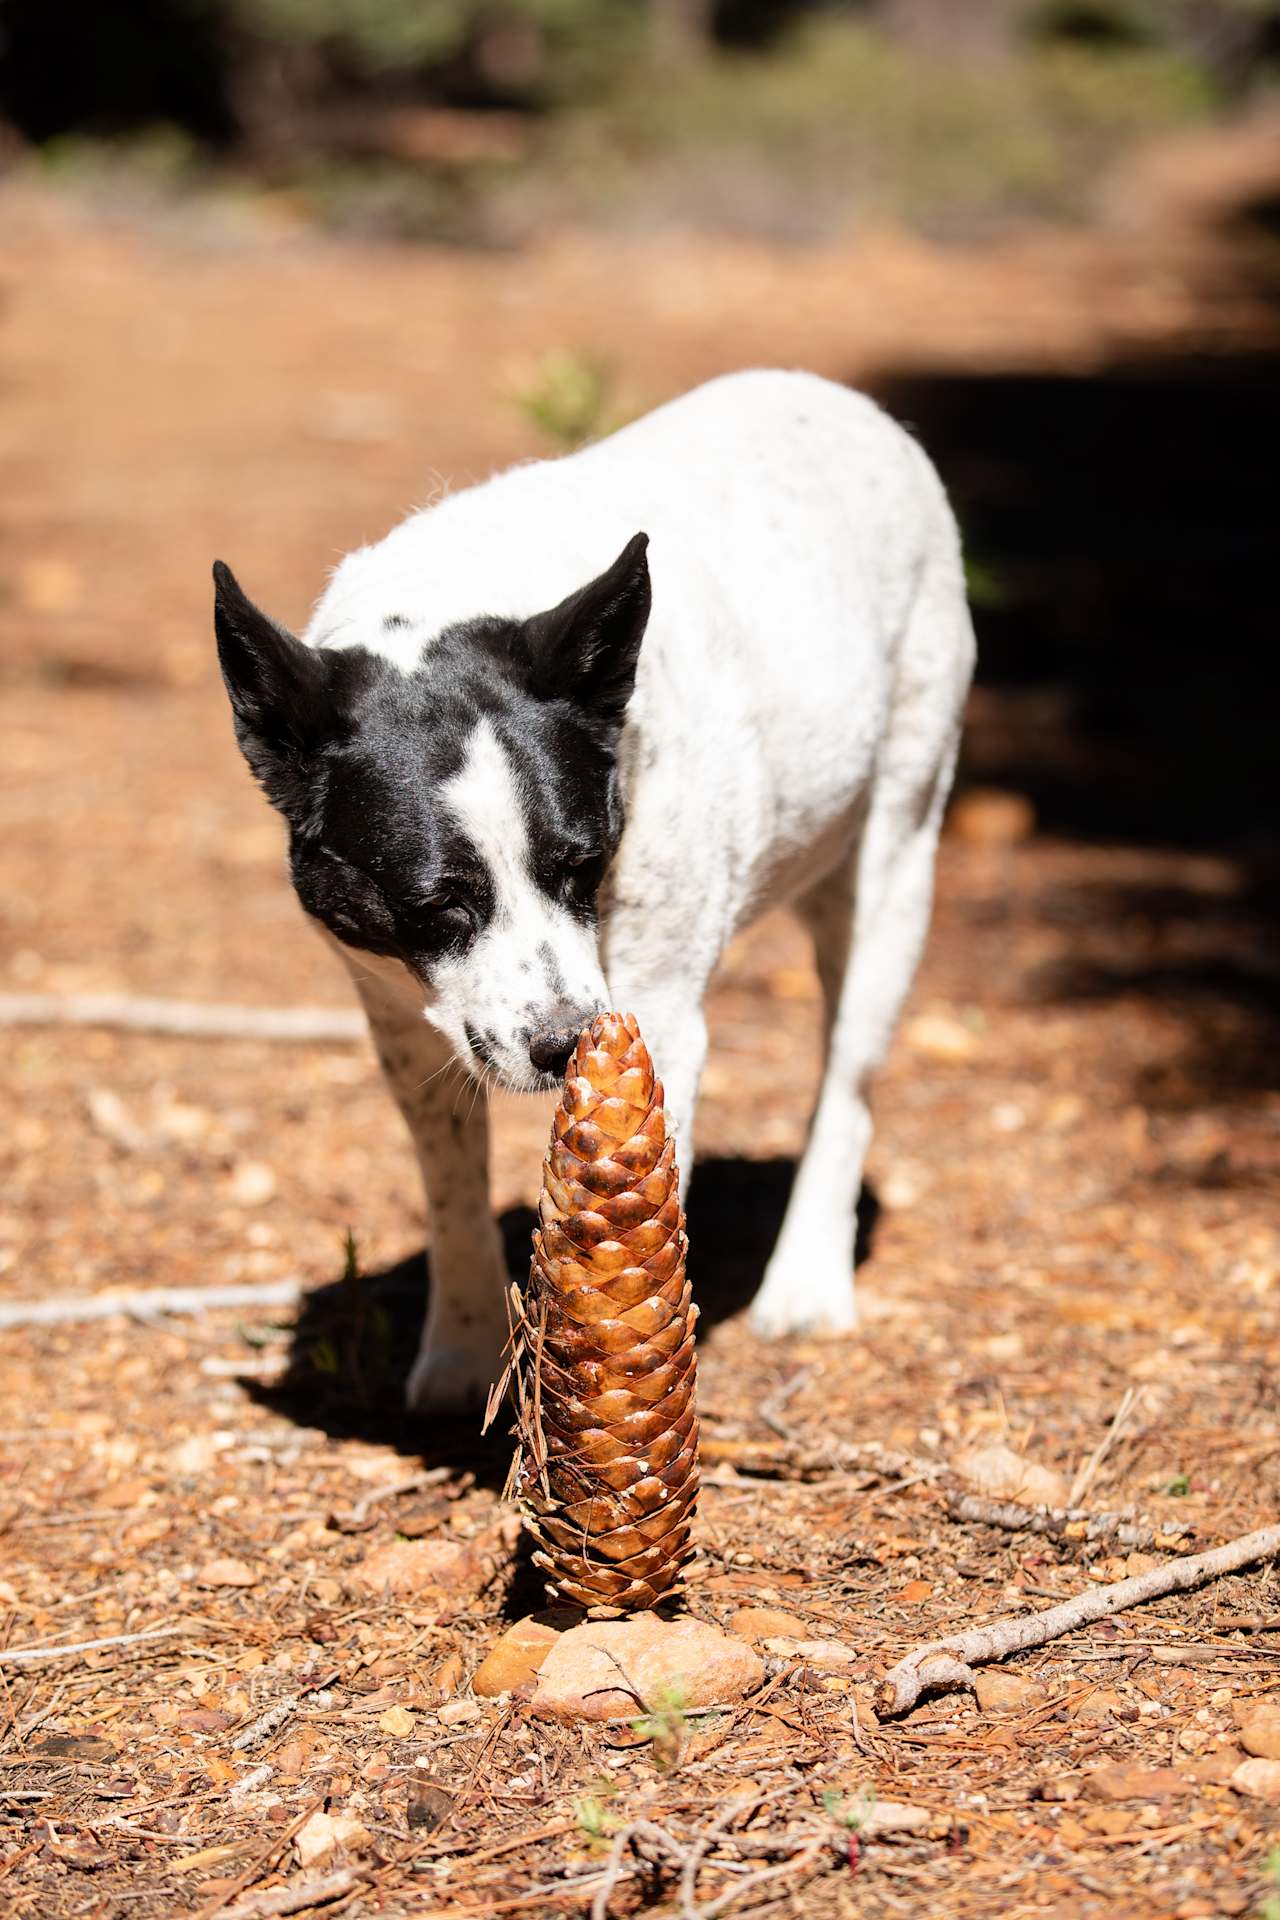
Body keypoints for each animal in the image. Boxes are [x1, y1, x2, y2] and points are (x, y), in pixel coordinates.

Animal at [214, 370, 974, 1413]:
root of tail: (849, 404)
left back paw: (806, 1283)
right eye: (435, 903)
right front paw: (461, 1355)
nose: (564, 1045)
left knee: (848, 1081)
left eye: (582, 864)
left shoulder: (658, 1021)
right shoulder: (398, 1021)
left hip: (895, 853)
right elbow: (451, 1193)